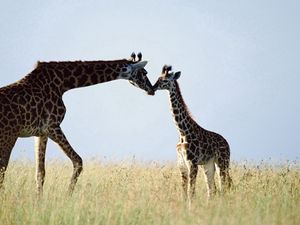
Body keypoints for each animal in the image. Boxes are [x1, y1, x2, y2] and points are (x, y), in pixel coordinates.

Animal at [154, 64, 231, 202]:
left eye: (165, 80)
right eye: (158, 78)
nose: (153, 87)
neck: (182, 131)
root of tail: (227, 143)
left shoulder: (192, 163)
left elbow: (191, 192)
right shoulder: (182, 164)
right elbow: (184, 192)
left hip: (223, 162)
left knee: (224, 185)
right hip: (208, 165)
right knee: (212, 189)